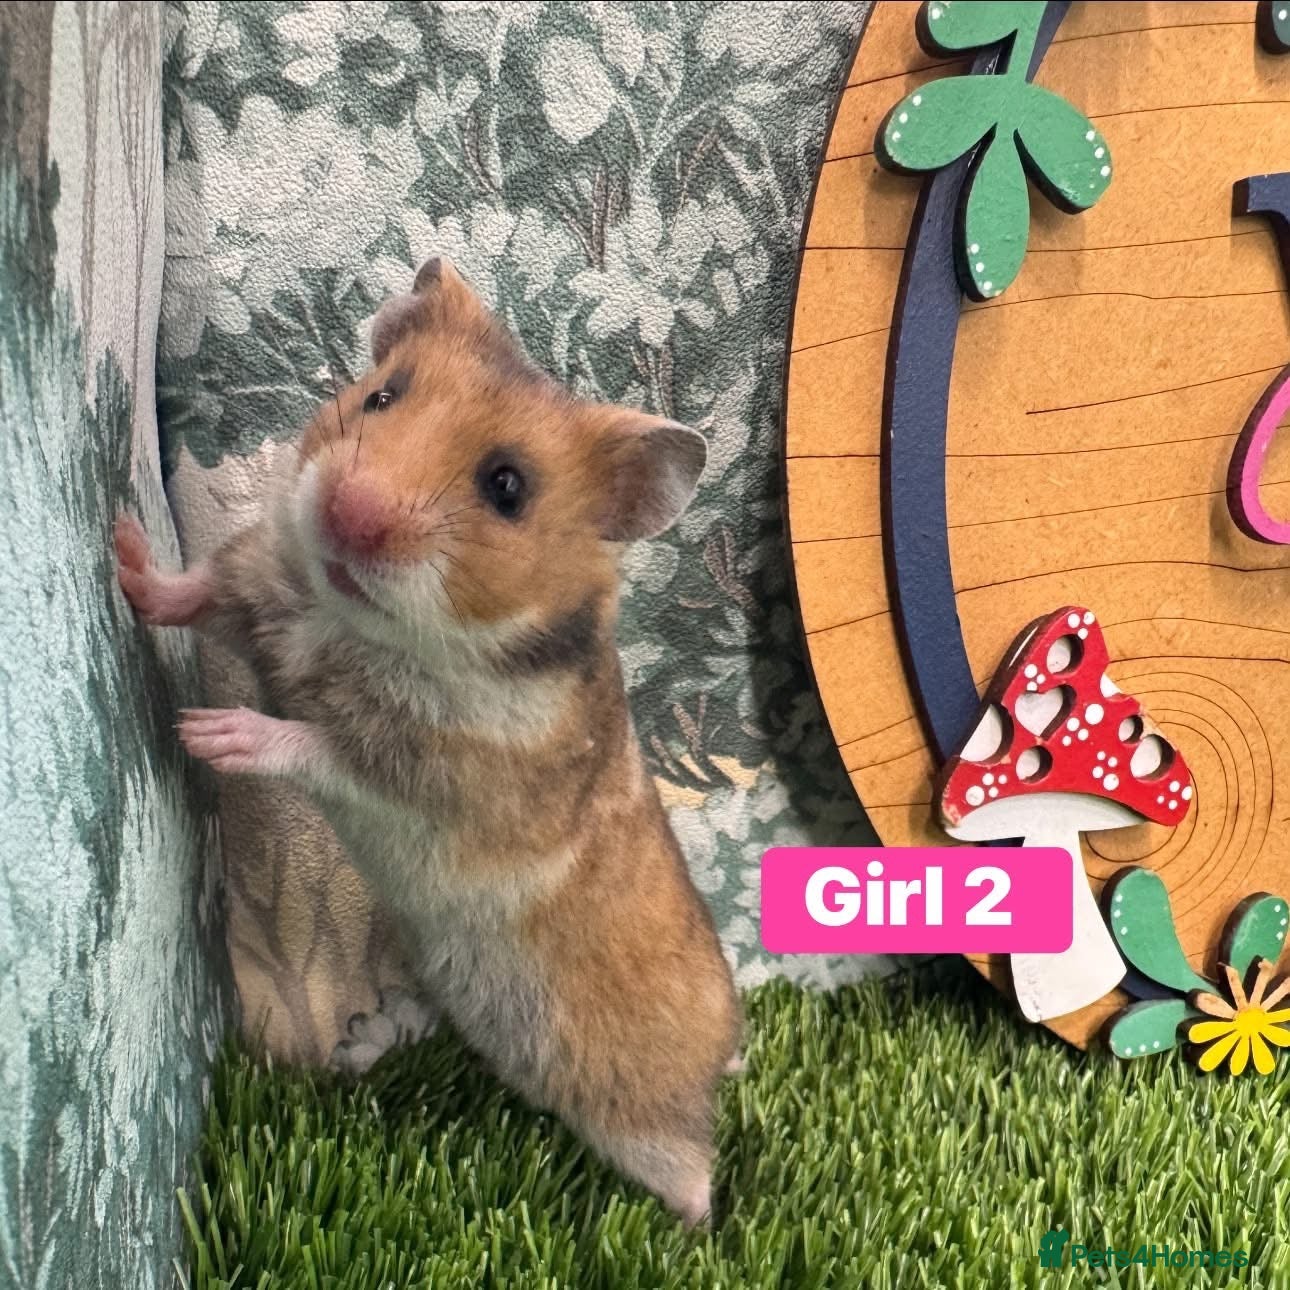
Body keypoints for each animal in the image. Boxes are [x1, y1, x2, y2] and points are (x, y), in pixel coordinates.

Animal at [115, 255, 741, 1227]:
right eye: (382, 396)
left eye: (507, 486)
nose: (348, 511)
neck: (354, 625)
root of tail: (729, 1040)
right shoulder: (261, 596)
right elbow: (199, 593)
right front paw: (124, 551)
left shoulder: (423, 782)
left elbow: (310, 744)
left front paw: (209, 732)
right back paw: (360, 1042)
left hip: (645, 1114)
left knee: (696, 1169)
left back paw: (693, 1235)